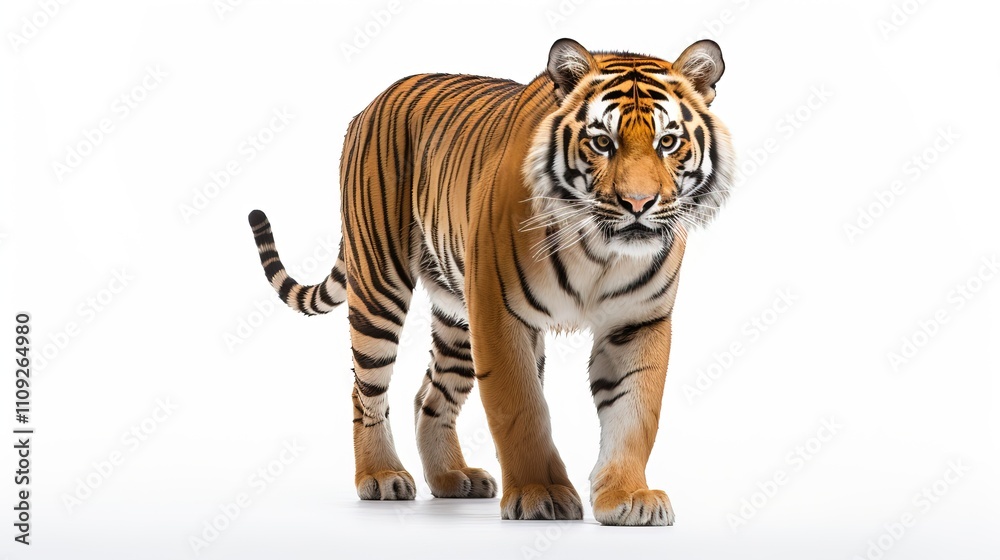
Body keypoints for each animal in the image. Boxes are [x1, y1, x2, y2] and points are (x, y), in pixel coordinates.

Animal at [247, 38, 734, 526]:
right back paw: (381, 475)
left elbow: (635, 413)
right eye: (602, 142)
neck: (601, 252)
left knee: (429, 396)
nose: (638, 203)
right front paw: (541, 493)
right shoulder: (499, 314)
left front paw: (628, 496)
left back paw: (451, 477)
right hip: (379, 284)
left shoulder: (637, 322)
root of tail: (373, 102)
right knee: (365, 391)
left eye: (667, 142)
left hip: (456, 313)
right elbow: (520, 408)